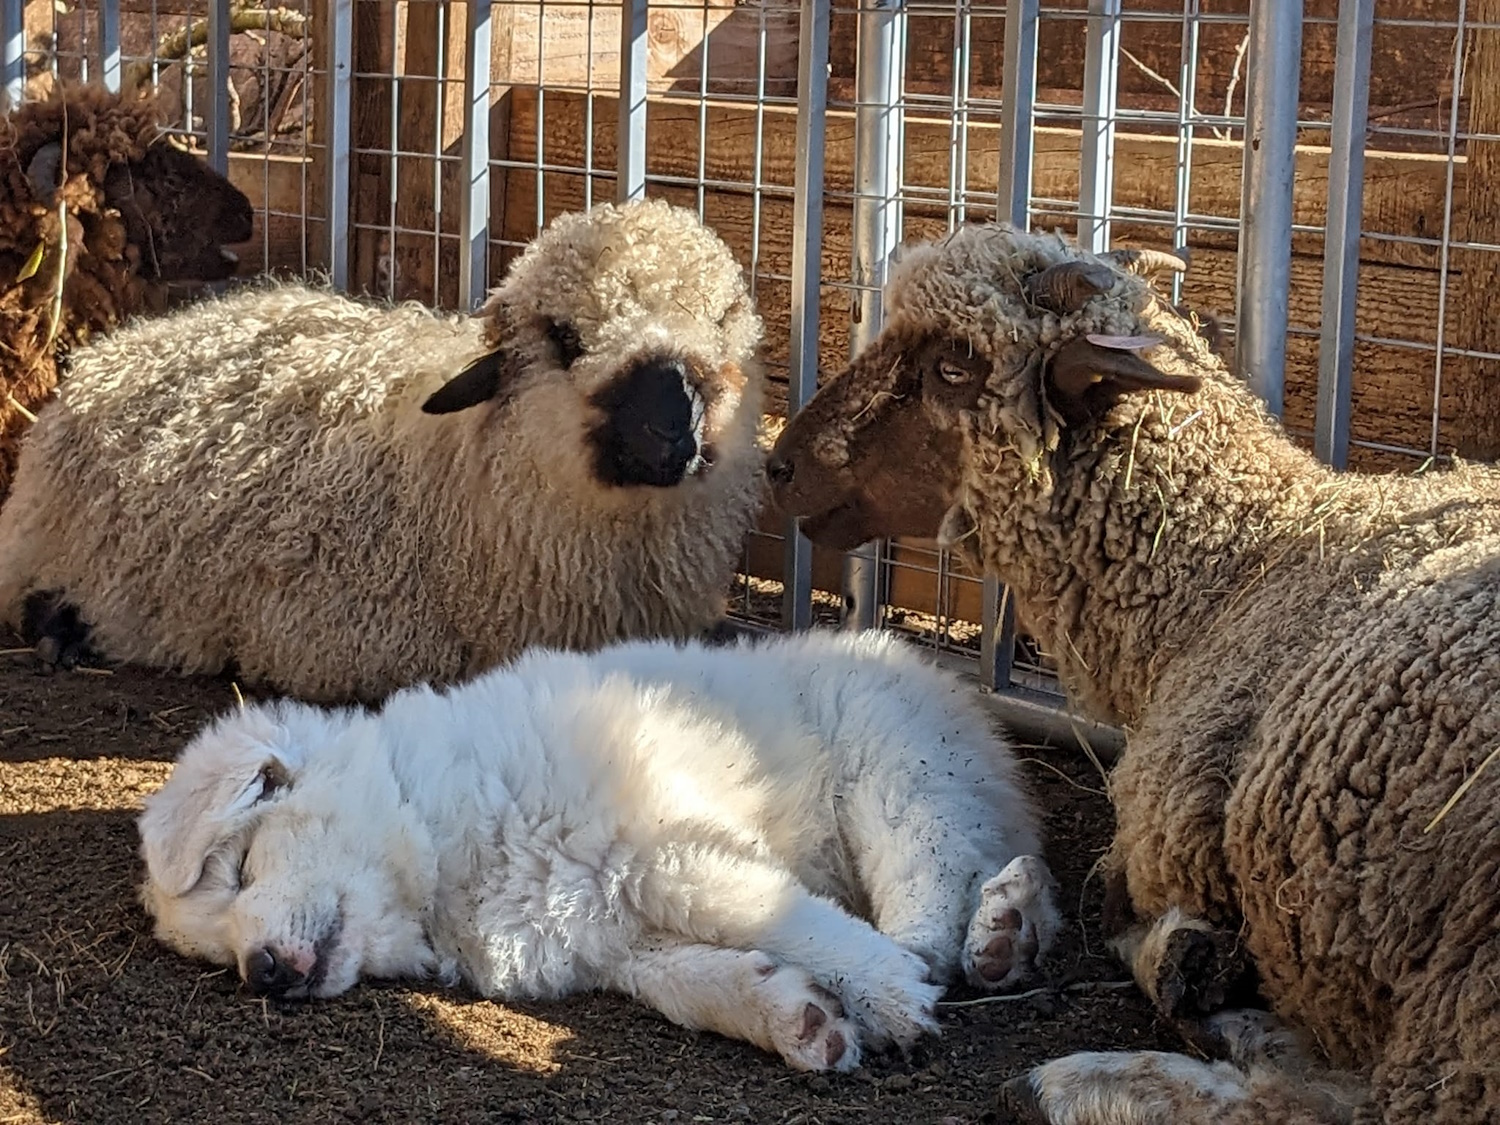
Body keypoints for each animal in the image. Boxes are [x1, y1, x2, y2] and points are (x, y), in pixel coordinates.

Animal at [763, 221, 1500, 1124]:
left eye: (953, 366)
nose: (780, 467)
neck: (1233, 573)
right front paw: (1206, 972)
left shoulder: (1163, 843)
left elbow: (1117, 909)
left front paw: (1193, 964)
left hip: (1464, 979)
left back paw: (1086, 1077)